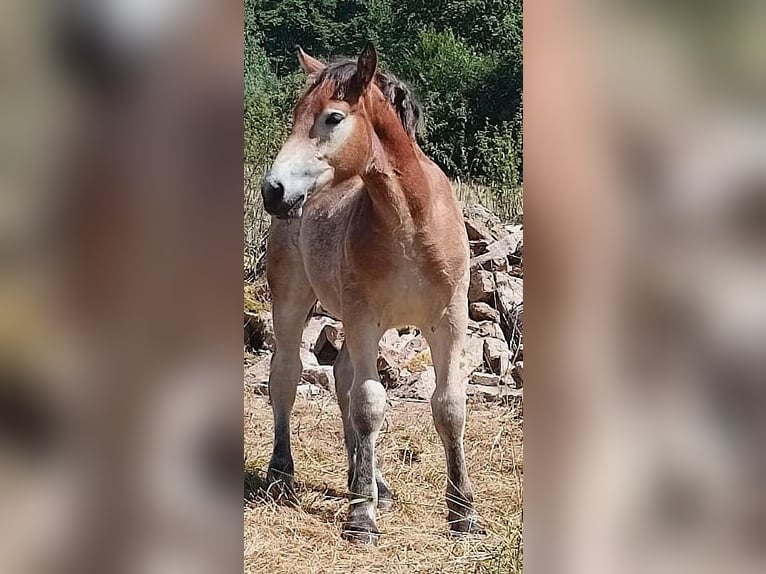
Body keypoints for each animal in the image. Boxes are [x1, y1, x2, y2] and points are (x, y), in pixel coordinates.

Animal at [260, 41, 484, 544]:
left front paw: (463, 513)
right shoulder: (365, 319)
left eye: (333, 117)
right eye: (295, 114)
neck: (412, 222)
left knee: (342, 378)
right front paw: (361, 518)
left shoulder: (448, 321)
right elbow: (369, 405)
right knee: (285, 375)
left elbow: (448, 407)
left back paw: (372, 481)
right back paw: (282, 476)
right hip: (293, 302)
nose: (273, 191)